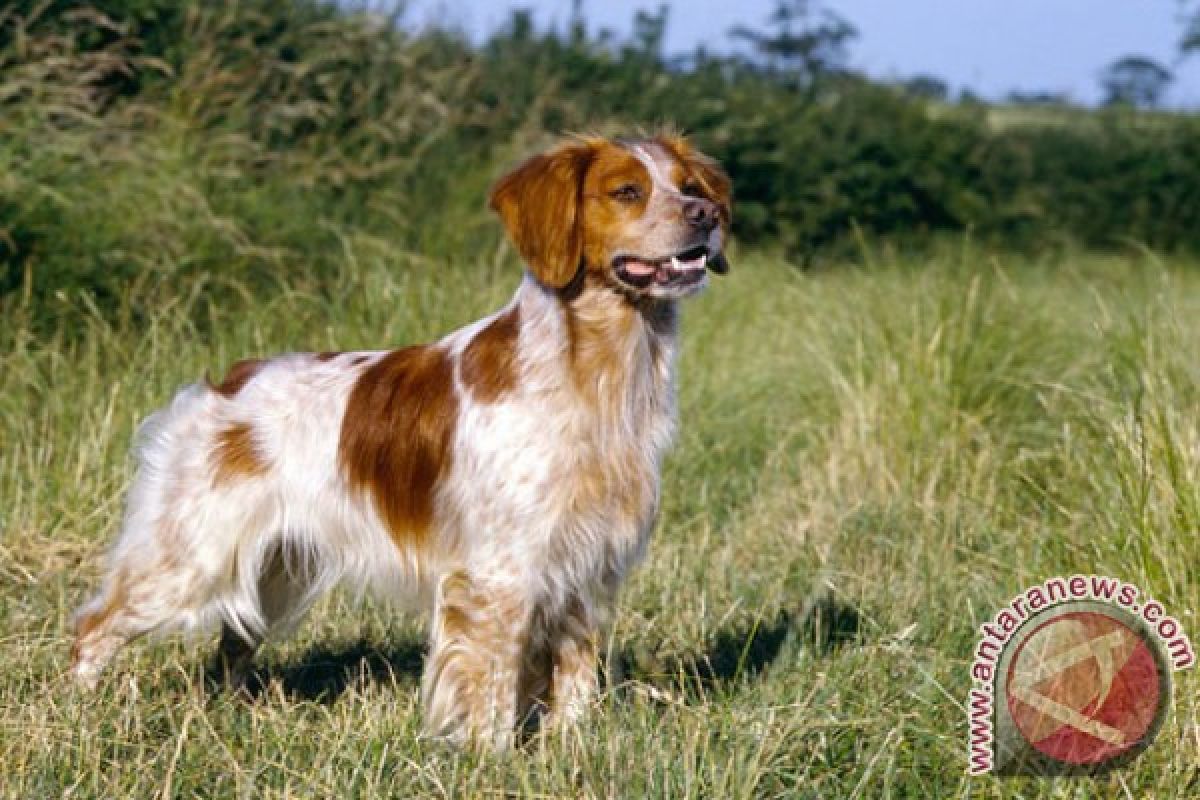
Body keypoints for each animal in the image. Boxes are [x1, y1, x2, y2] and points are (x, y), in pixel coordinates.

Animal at [75, 134, 734, 748]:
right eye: (626, 191)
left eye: (690, 186)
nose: (705, 215)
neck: (596, 371)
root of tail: (222, 385)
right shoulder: (499, 574)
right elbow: (492, 685)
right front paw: (490, 760)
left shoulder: (587, 569)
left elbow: (573, 677)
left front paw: (568, 751)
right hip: (188, 559)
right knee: (93, 629)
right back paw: (80, 714)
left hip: (274, 572)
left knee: (233, 644)